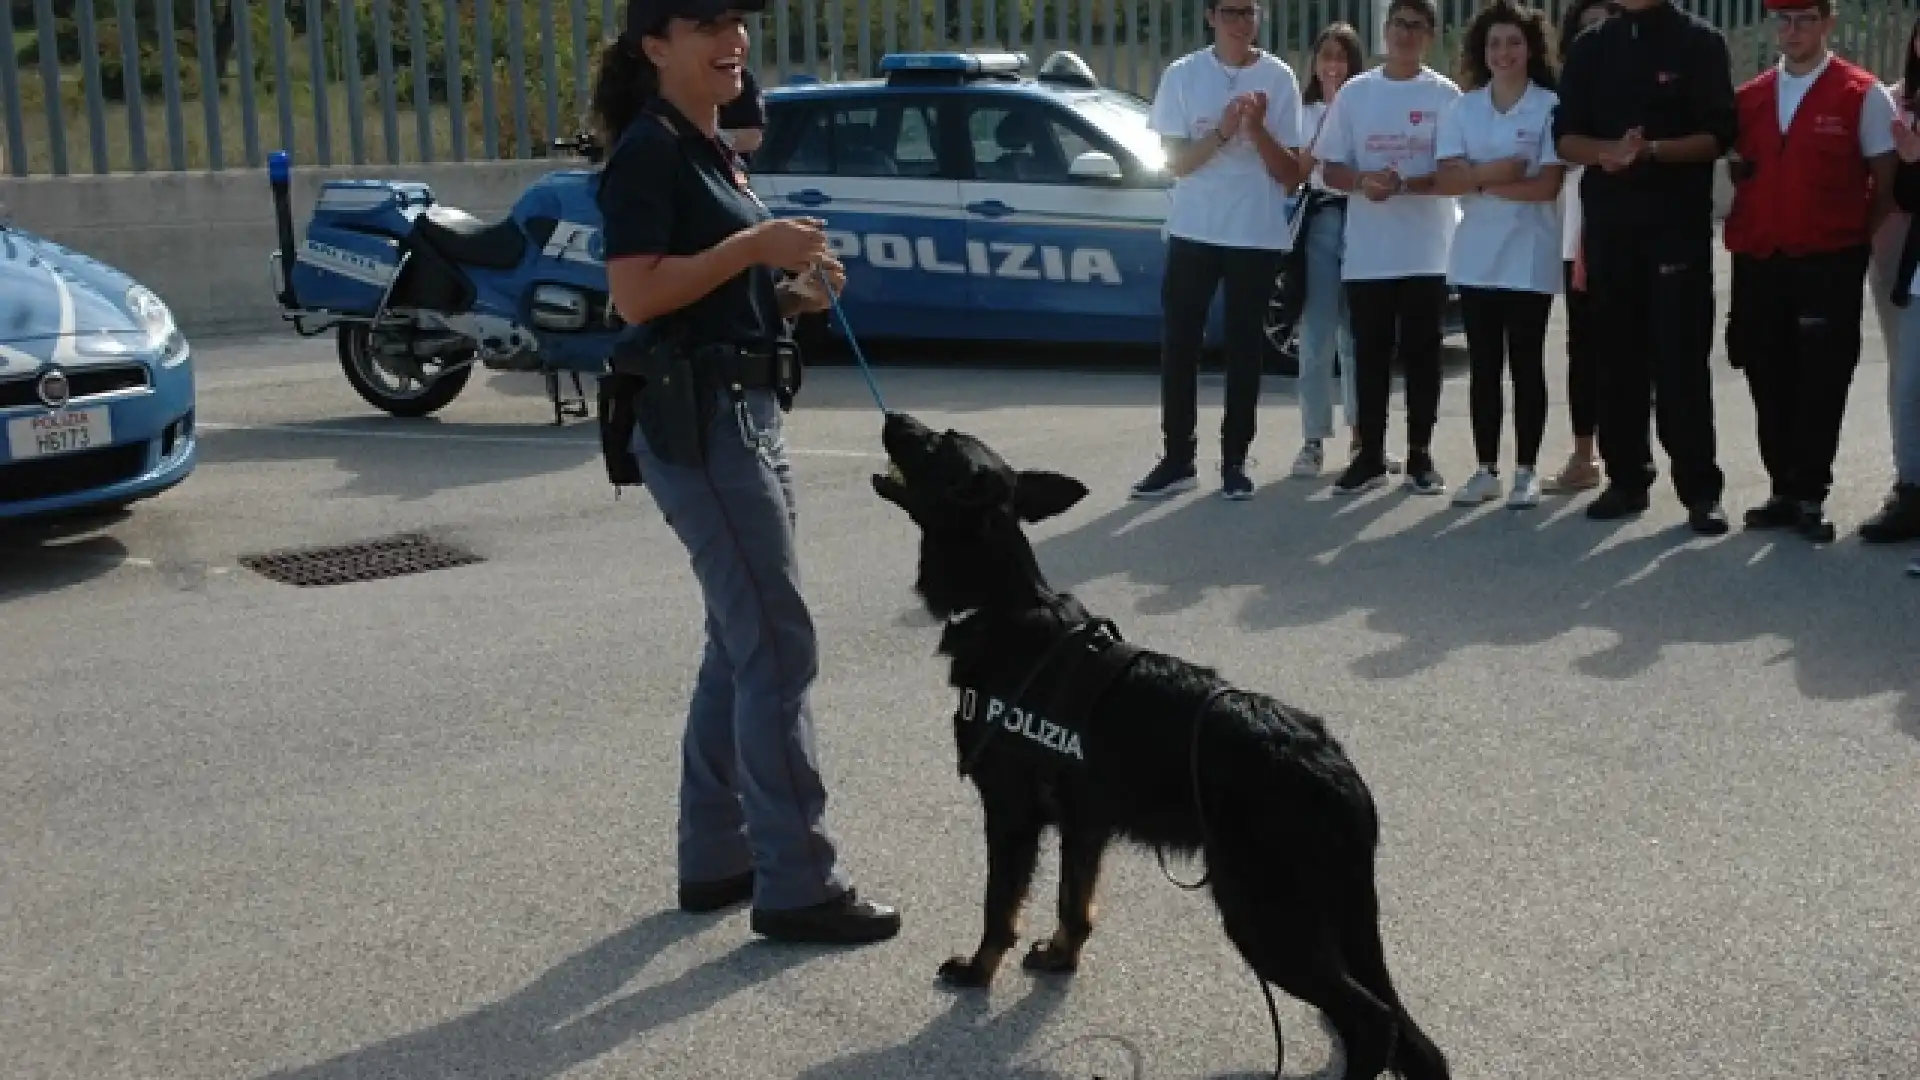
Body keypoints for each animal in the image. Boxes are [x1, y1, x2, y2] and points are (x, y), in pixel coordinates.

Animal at [875, 411, 1451, 1076]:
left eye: (936, 441)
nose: (892, 418)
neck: (1004, 603)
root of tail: (1337, 769)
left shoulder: (1011, 816)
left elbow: (999, 908)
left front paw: (977, 970)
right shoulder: (1086, 825)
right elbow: (1074, 902)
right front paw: (1061, 958)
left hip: (1261, 918)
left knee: (1373, 1019)